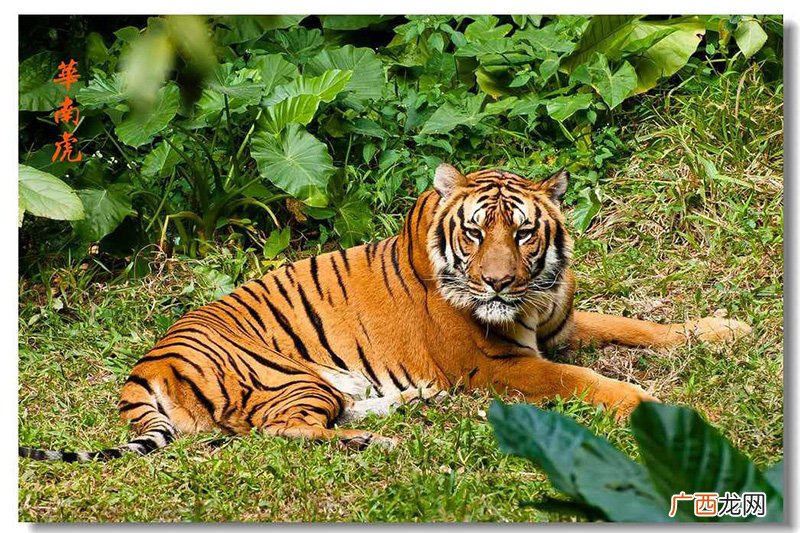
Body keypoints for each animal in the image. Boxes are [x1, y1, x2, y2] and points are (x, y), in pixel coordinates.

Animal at [19, 163, 751, 461]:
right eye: (475, 232)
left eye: (523, 233)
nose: (496, 284)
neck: (536, 294)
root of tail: (142, 366)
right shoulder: (499, 364)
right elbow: (590, 380)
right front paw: (662, 409)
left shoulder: (559, 326)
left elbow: (637, 324)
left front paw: (724, 331)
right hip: (287, 376)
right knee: (273, 433)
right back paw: (382, 440)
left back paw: (394, 409)